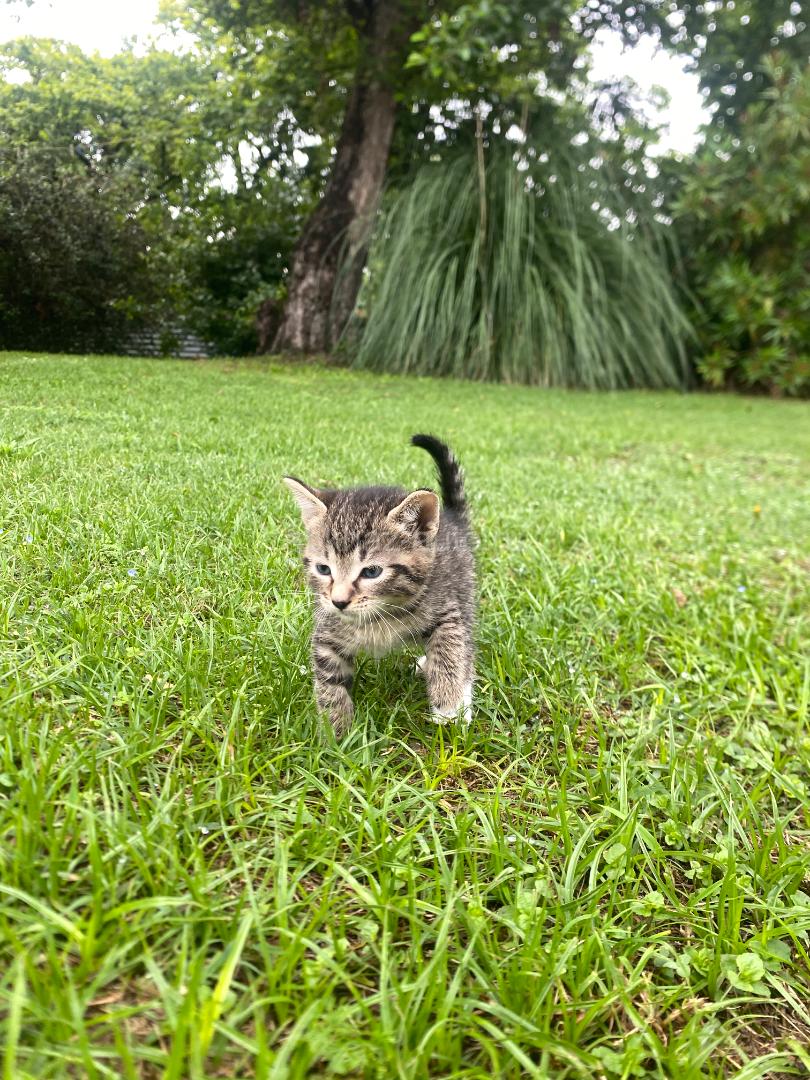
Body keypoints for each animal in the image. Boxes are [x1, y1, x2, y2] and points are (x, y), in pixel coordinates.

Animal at [283, 434, 476, 736]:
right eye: (324, 569)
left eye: (372, 572)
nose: (339, 601)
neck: (379, 615)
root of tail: (450, 518)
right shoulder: (327, 632)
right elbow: (329, 683)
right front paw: (336, 733)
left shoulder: (447, 612)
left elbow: (451, 652)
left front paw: (449, 707)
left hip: (463, 588)